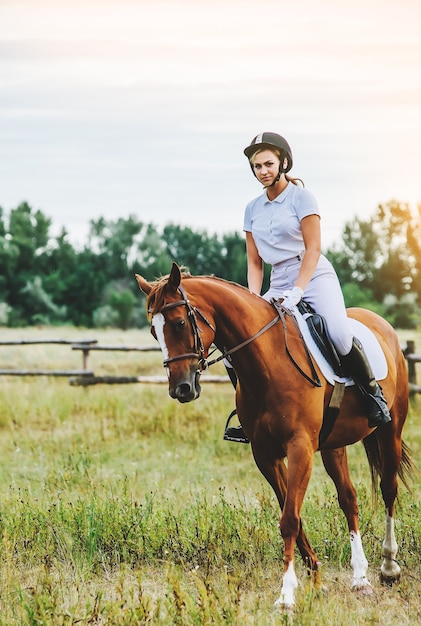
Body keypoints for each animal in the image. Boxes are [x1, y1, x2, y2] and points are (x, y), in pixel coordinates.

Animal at [135, 260, 410, 608]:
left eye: (180, 323)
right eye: (154, 330)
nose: (181, 389)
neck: (267, 363)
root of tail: (381, 324)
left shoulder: (300, 447)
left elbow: (290, 518)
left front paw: (286, 594)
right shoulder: (265, 454)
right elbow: (292, 514)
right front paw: (315, 578)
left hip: (391, 430)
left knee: (388, 489)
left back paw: (388, 567)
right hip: (333, 445)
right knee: (349, 498)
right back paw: (360, 578)